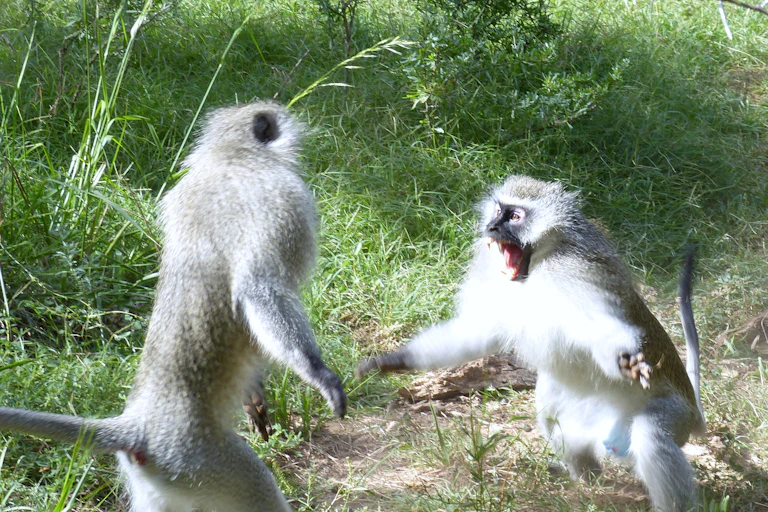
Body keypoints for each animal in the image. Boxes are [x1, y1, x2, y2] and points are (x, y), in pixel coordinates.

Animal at [0, 101, 347, 512]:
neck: (229, 155)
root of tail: (139, 427)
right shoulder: (282, 198)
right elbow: (259, 289)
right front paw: (319, 375)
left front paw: (256, 398)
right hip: (201, 461)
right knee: (257, 485)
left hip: (162, 478)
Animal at [357, 175, 705, 512]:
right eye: (498, 211)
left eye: (515, 216)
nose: (491, 227)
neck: (535, 272)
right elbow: (480, 333)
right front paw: (395, 360)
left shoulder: (575, 273)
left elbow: (600, 326)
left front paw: (625, 360)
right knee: (552, 413)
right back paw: (587, 479)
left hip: (676, 416)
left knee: (651, 437)